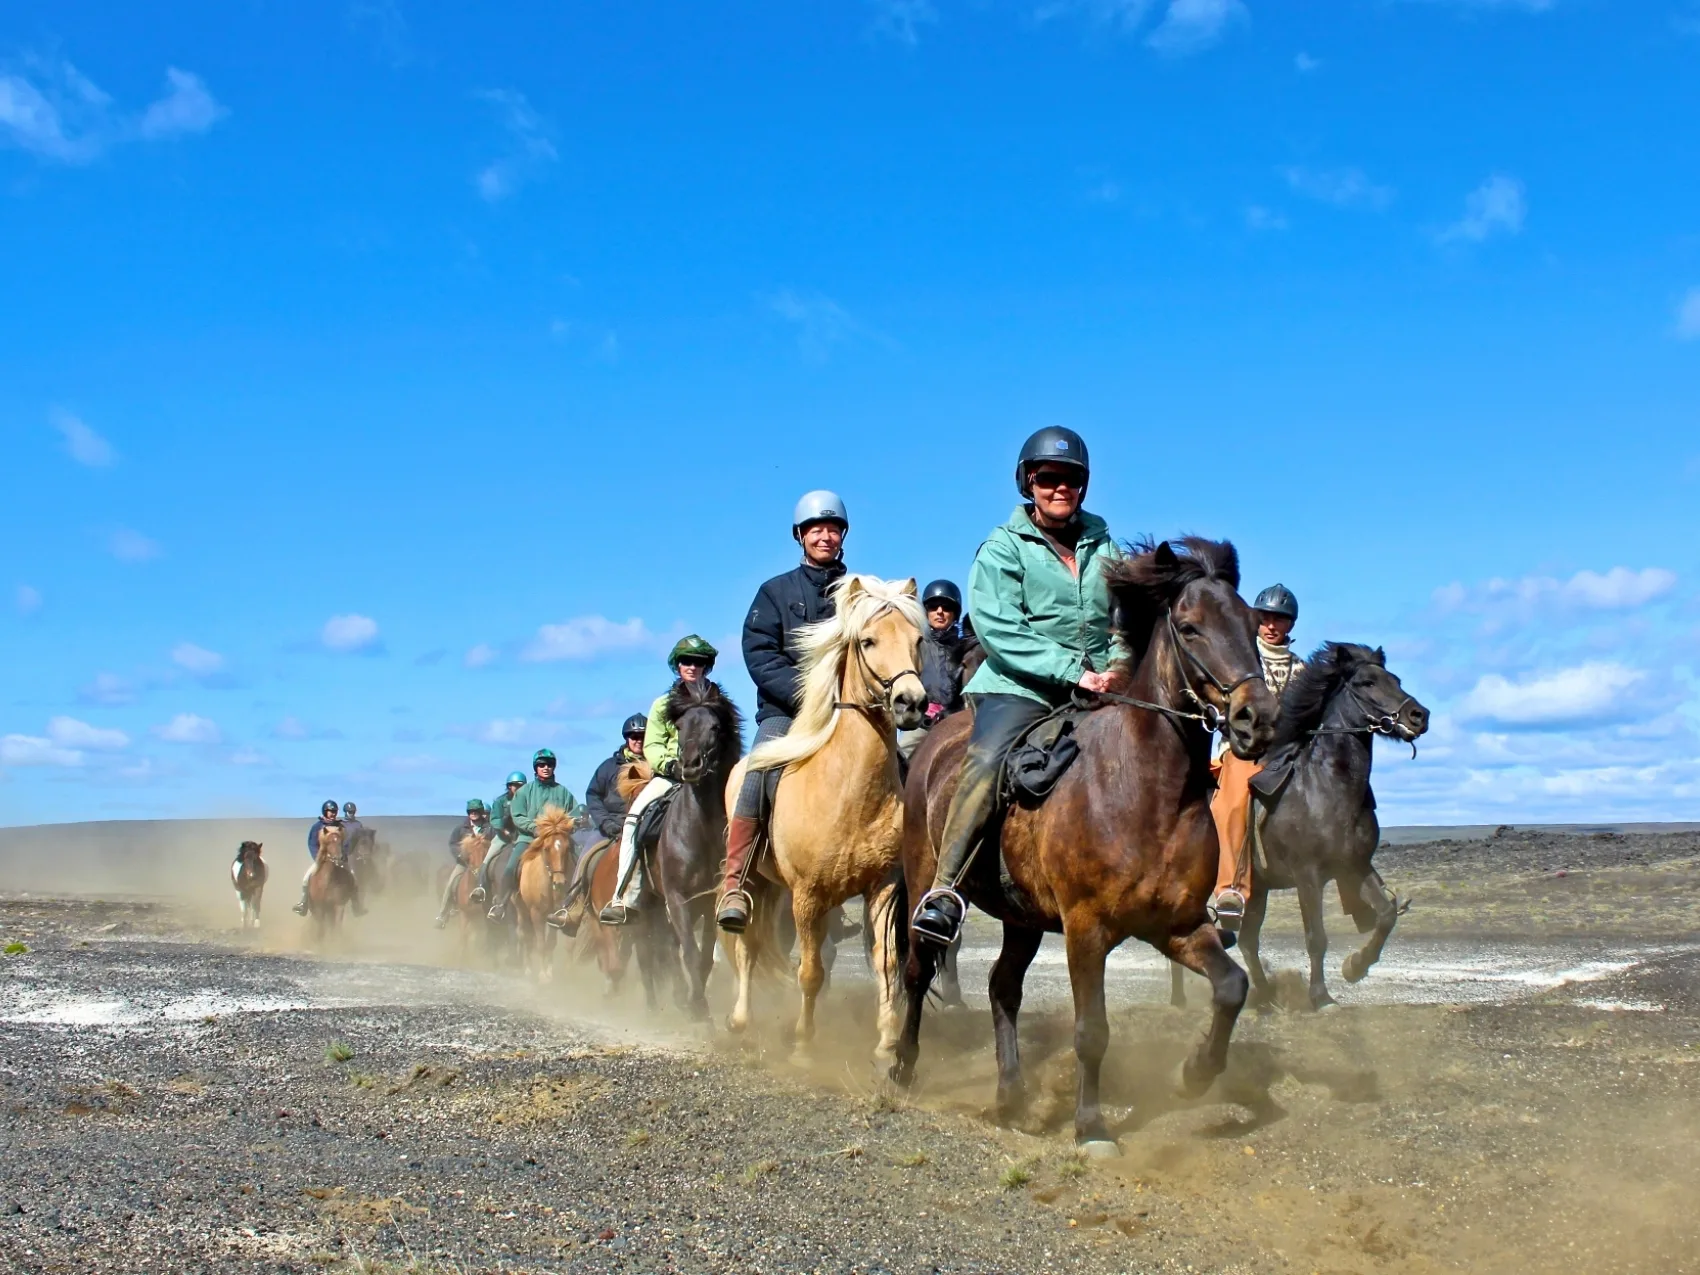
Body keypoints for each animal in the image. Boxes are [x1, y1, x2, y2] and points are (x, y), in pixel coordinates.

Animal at [510, 812, 578, 986]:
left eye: (567, 848)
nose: (559, 883)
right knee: (525, 936)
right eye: (546, 848)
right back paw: (527, 969)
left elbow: (550, 944)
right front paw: (542, 975)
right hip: (522, 911)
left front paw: (549, 973)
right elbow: (540, 944)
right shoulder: (536, 913)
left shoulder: (555, 914)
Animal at [635, 683, 741, 1026]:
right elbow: (690, 954)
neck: (700, 831)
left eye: (715, 727)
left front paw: (694, 1001)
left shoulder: (708, 901)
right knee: (649, 954)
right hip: (648, 905)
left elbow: (704, 956)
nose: (691, 766)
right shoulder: (677, 898)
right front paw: (698, 1010)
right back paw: (654, 1005)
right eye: (679, 727)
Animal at [720, 578, 924, 1060]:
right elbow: (809, 971)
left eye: (918, 640)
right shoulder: (806, 896)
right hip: (755, 882)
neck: (850, 791)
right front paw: (802, 1045)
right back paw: (741, 1020)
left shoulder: (881, 888)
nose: (910, 702)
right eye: (868, 641)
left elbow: (885, 963)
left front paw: (885, 1042)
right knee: (746, 946)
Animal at [890, 533, 1278, 1156]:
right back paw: (902, 1067)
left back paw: (1011, 1094)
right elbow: (1091, 1031)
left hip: (1022, 919)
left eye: (1250, 624)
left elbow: (1232, 987)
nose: (1257, 720)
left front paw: (1193, 1074)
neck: (1146, 791)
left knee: (1002, 988)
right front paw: (1092, 1127)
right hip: (928, 883)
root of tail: (930, 747)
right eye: (1190, 627)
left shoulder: (1177, 926)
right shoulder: (1085, 930)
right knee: (917, 969)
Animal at [1169, 642, 1434, 1013]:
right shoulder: (1308, 875)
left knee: (1248, 941)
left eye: (1395, 679)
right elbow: (1316, 937)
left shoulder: (1354, 866)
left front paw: (1354, 966)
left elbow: (1385, 915)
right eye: (1367, 682)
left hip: (1258, 890)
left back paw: (1264, 997)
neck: (1323, 787)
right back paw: (1181, 999)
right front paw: (1321, 997)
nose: (1418, 716)